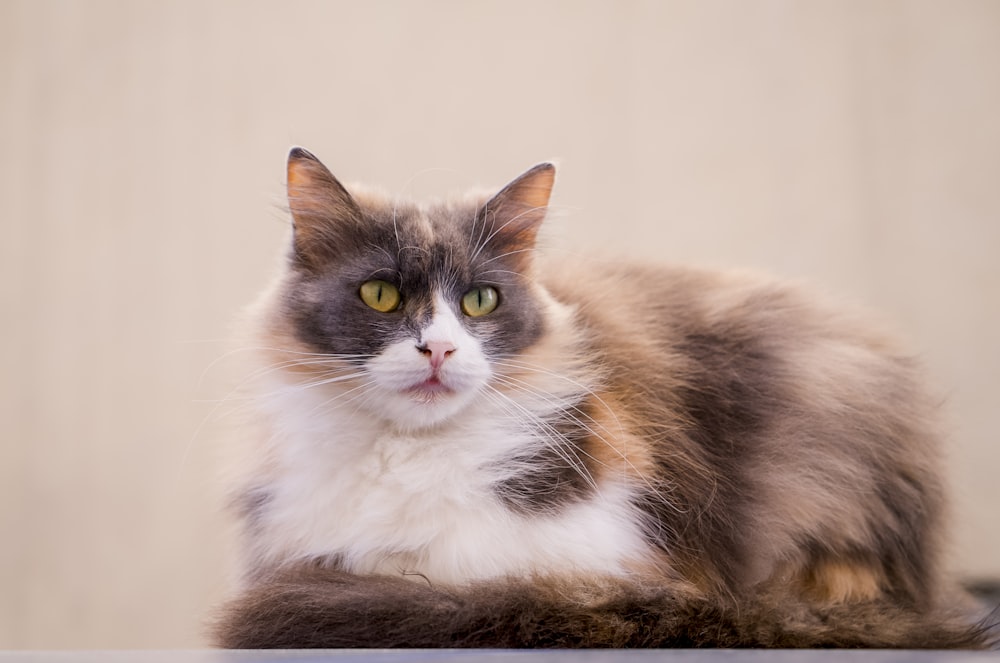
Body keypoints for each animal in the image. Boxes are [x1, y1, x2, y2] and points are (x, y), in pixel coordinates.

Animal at [209, 147, 992, 648]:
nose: (439, 350)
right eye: (381, 294)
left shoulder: (603, 552)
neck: (409, 453)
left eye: (480, 300)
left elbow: (445, 568)